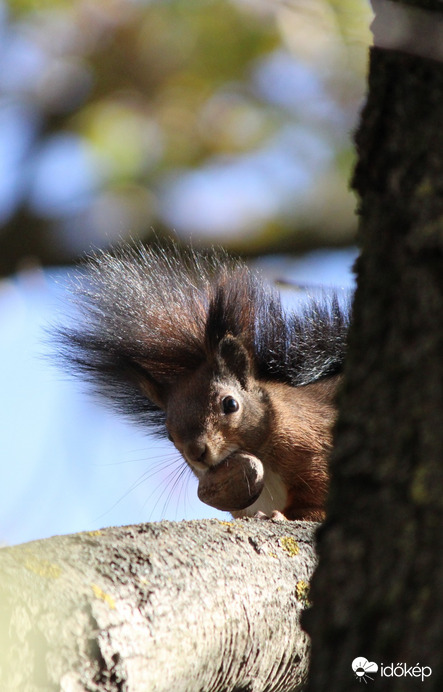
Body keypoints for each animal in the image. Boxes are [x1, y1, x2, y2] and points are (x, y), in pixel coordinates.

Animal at [57, 243, 350, 520]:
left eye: (230, 404)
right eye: (168, 433)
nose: (197, 452)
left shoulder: (312, 446)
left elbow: (315, 497)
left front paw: (285, 515)